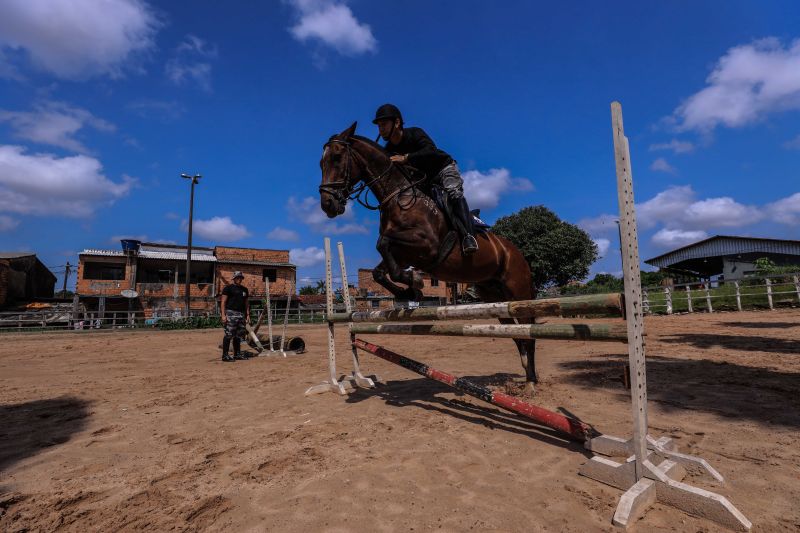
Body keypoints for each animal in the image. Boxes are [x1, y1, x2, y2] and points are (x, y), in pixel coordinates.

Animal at [318, 123, 536, 390]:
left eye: (337, 157)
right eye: (321, 162)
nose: (328, 205)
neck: (398, 196)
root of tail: (517, 253)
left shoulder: (427, 245)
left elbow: (383, 243)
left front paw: (414, 283)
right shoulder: (406, 254)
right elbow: (381, 269)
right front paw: (409, 290)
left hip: (518, 292)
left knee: (529, 333)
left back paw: (532, 382)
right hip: (494, 297)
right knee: (518, 335)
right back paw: (526, 377)